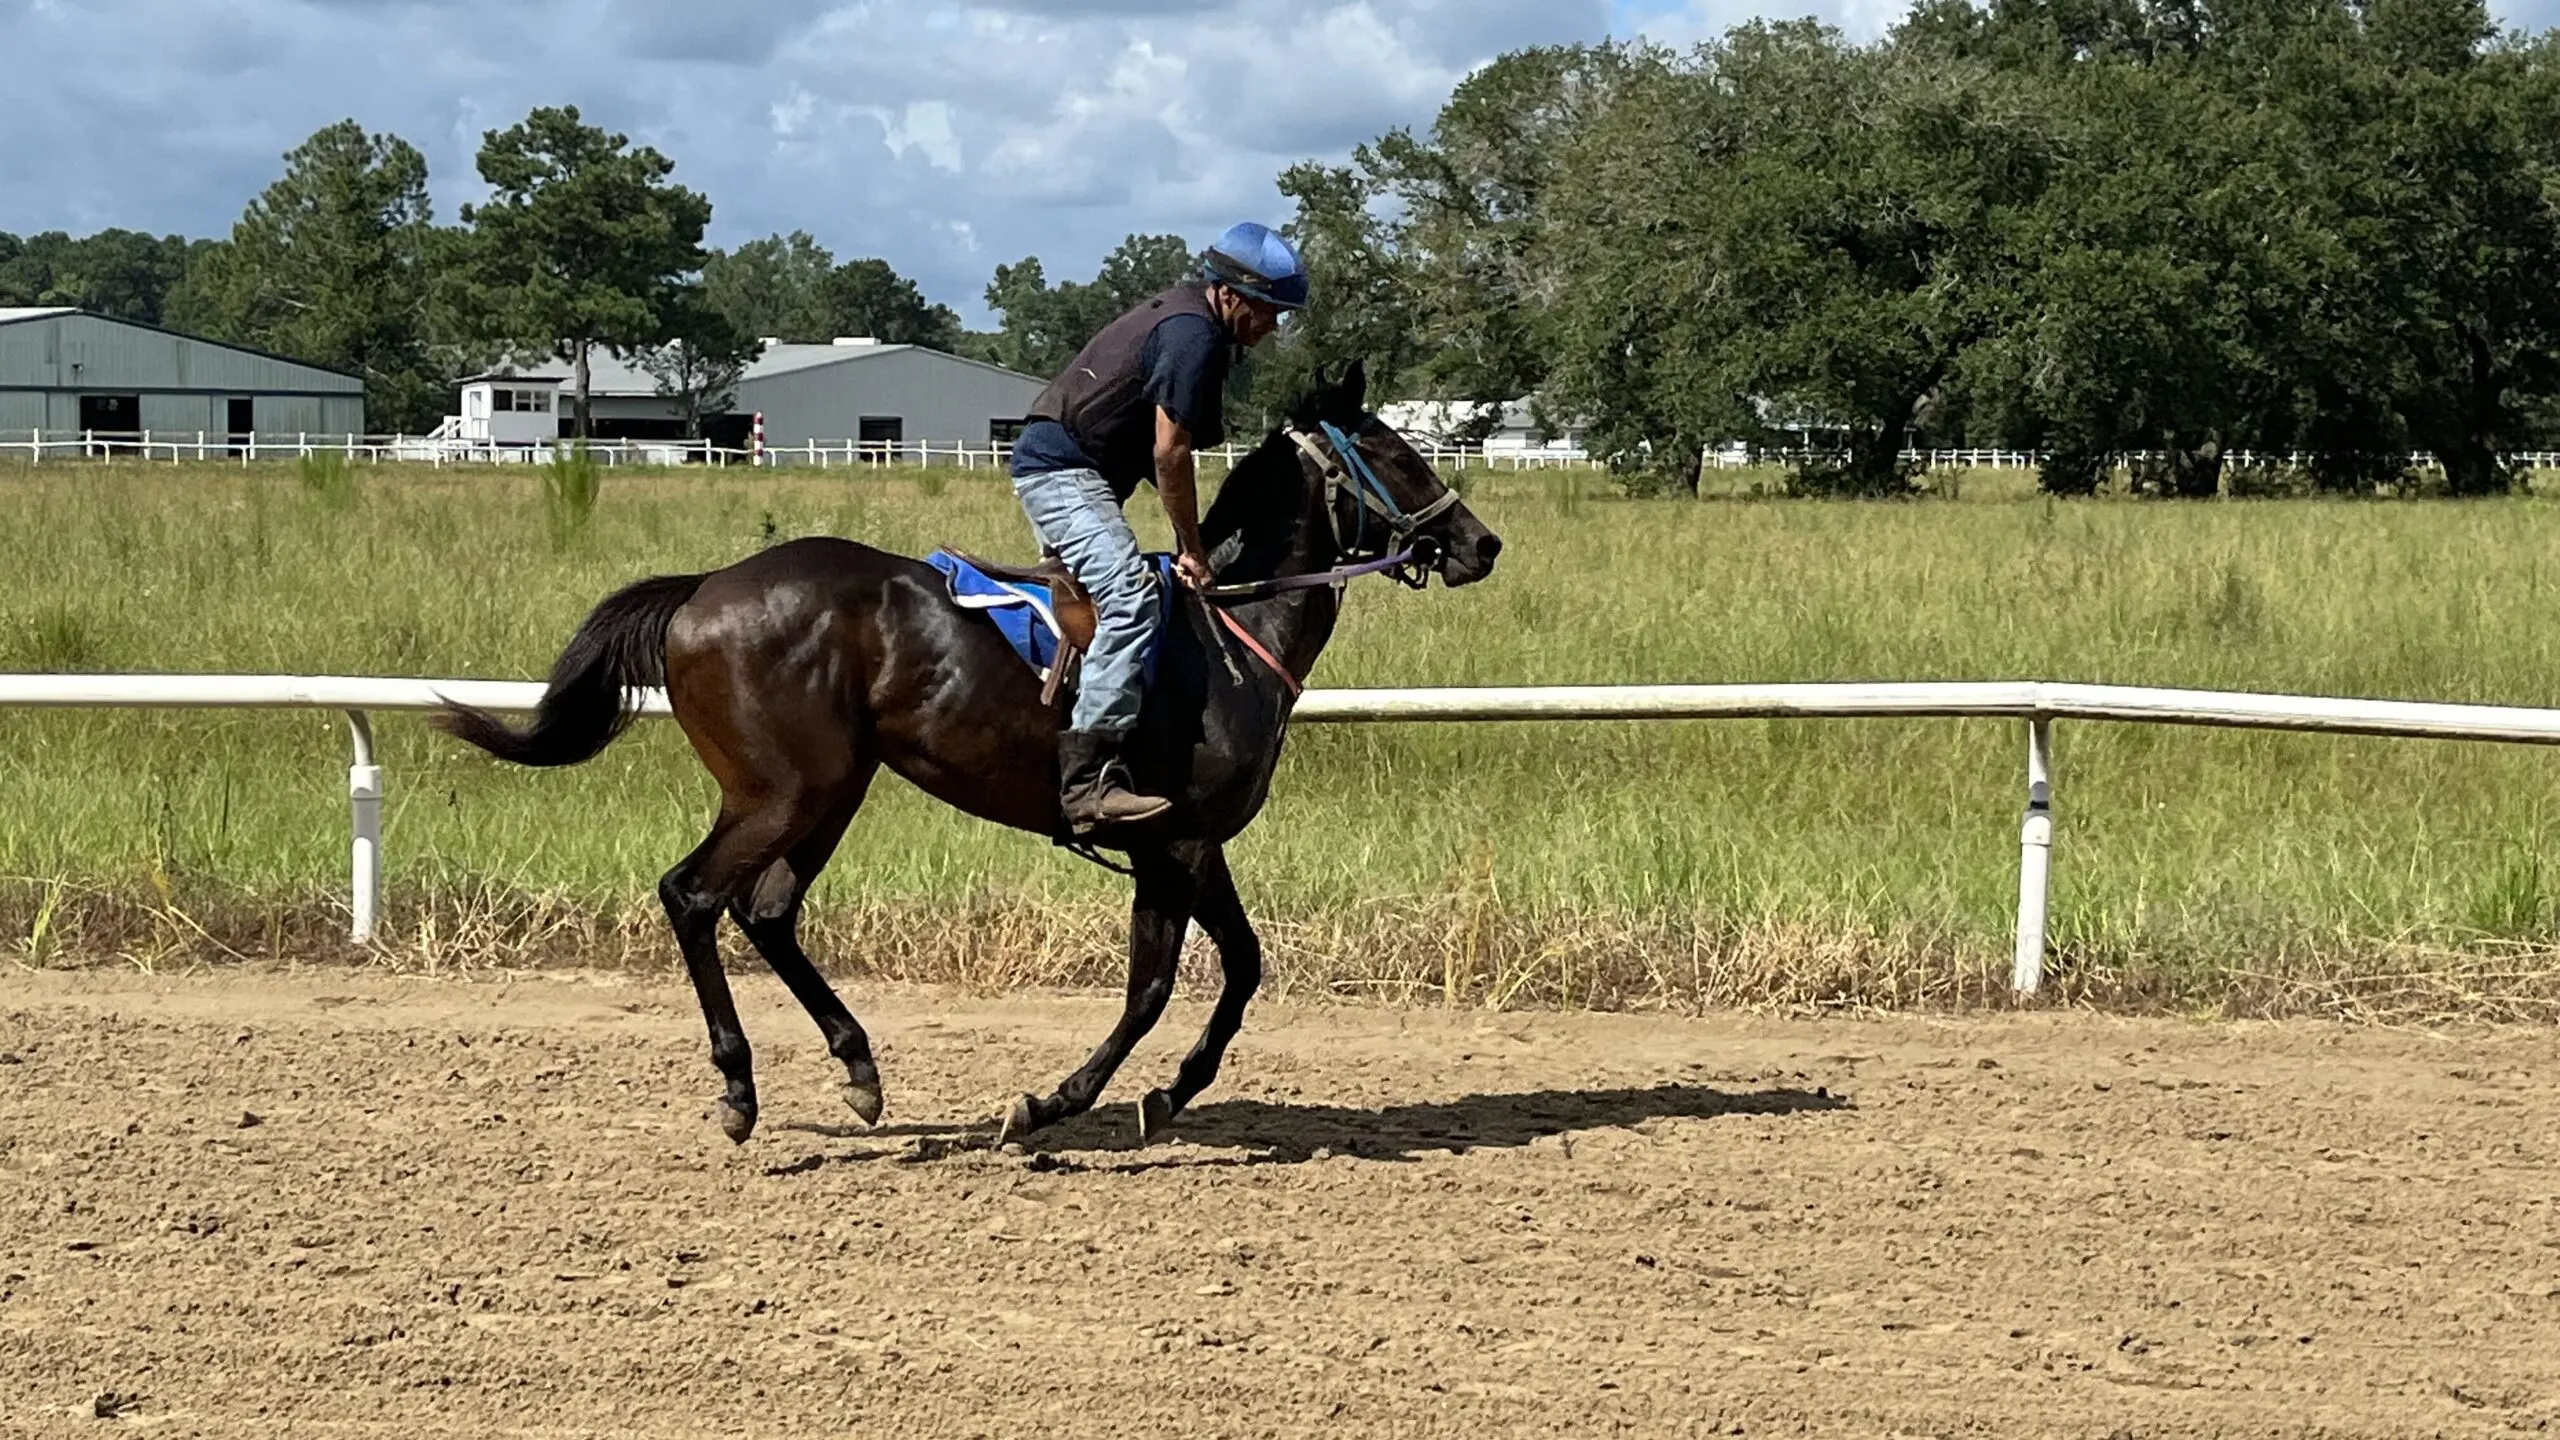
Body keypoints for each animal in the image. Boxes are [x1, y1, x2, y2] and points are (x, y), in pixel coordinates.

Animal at [430, 361, 1495, 1142]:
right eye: (1395, 451)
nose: (1479, 544)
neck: (1231, 628)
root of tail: (704, 589)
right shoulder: (1177, 845)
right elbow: (1173, 984)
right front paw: (1067, 1100)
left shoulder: (1186, 844)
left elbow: (1220, 975)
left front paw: (1148, 1095)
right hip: (780, 791)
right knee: (693, 896)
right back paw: (739, 1089)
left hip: (835, 789)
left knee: (766, 911)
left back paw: (859, 1066)